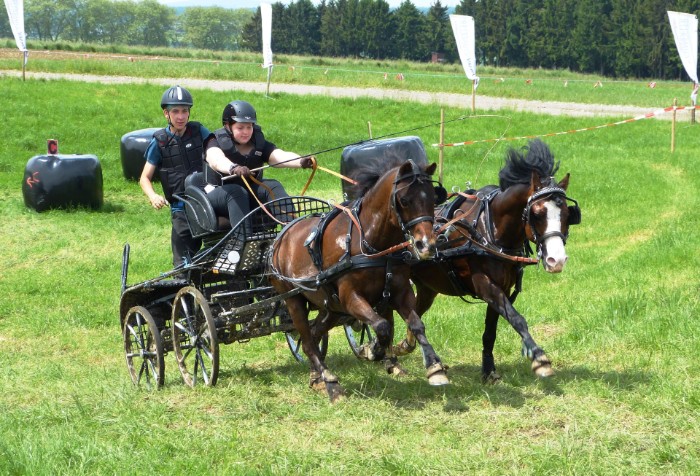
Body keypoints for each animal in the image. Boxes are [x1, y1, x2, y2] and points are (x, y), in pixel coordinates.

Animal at [268, 156, 448, 402]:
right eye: (404, 200)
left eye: (432, 197)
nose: (426, 245)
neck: (370, 243)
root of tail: (280, 237)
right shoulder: (351, 297)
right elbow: (382, 326)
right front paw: (372, 349)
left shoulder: (400, 291)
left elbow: (416, 324)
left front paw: (434, 367)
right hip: (293, 300)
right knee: (307, 342)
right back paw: (330, 382)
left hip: (331, 307)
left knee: (314, 334)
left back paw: (316, 377)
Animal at [397, 139, 581, 382]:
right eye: (537, 213)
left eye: (568, 215)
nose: (556, 260)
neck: (489, 230)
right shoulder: (484, 284)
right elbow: (517, 318)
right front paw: (539, 358)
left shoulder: (503, 286)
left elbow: (491, 331)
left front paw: (488, 370)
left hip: (428, 287)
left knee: (414, 313)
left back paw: (404, 346)